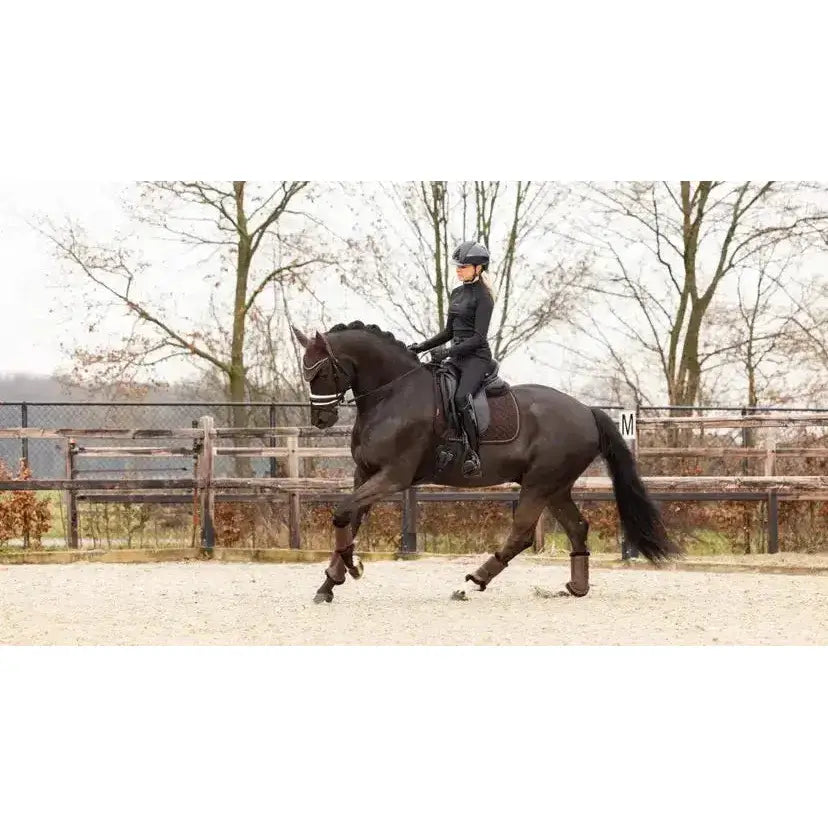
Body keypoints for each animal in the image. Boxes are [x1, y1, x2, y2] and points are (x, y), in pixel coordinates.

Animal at [292, 321, 681, 604]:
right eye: (306, 372)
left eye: (321, 372)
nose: (322, 420)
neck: (392, 395)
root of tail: (587, 411)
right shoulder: (365, 474)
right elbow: (349, 519)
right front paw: (330, 582)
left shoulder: (392, 477)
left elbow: (342, 513)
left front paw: (352, 567)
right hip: (556, 487)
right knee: (577, 527)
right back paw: (577, 587)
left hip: (540, 484)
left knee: (521, 533)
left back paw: (471, 583)